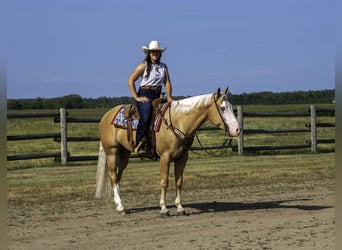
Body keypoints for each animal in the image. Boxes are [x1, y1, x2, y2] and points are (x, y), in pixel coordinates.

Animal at [95, 88, 240, 217]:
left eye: (231, 107)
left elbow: (179, 182)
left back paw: (119, 205)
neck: (178, 122)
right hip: (112, 151)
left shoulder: (182, 158)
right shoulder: (165, 157)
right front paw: (164, 209)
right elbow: (164, 182)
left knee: (118, 177)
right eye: (222, 108)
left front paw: (180, 208)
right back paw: (121, 207)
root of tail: (106, 116)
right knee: (113, 176)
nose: (237, 129)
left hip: (124, 154)